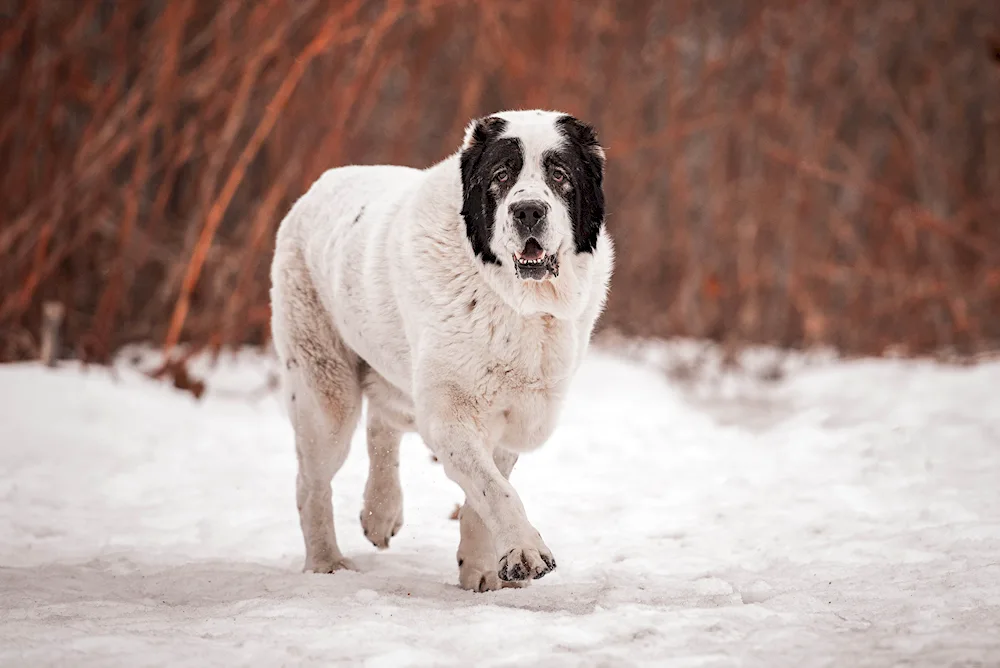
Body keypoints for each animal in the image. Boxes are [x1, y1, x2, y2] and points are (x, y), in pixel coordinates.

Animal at [274, 108, 616, 588]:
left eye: (560, 174)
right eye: (502, 175)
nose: (528, 210)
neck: (516, 303)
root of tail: (317, 187)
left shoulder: (513, 415)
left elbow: (484, 494)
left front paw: (482, 571)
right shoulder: (450, 413)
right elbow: (496, 490)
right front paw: (525, 551)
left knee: (382, 424)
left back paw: (380, 513)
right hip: (326, 394)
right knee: (312, 481)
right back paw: (326, 562)